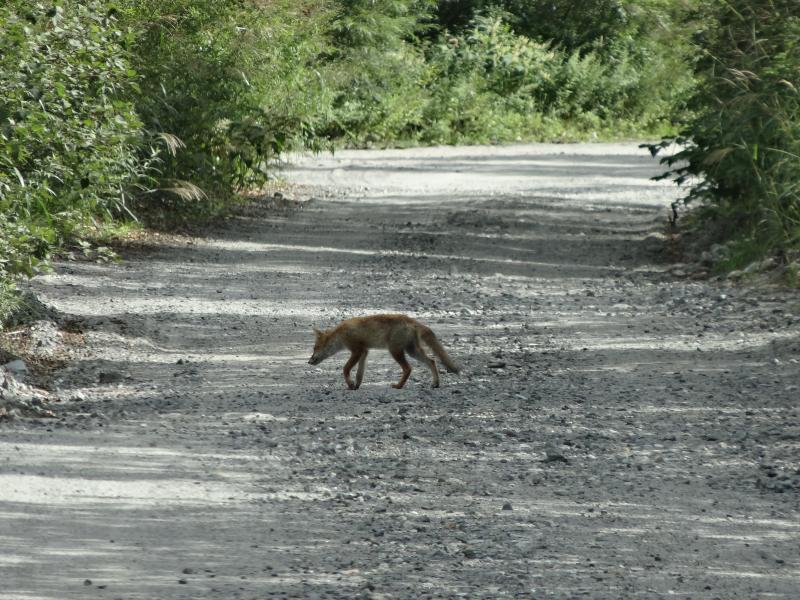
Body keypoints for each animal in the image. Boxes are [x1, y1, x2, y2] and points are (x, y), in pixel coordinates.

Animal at [308, 312, 460, 392]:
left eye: (315, 348)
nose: (309, 361)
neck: (341, 334)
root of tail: (411, 320)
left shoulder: (357, 350)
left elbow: (345, 369)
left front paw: (350, 384)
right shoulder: (364, 352)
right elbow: (359, 373)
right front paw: (356, 385)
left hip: (395, 351)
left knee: (408, 368)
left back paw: (399, 386)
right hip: (412, 351)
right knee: (432, 361)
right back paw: (435, 383)